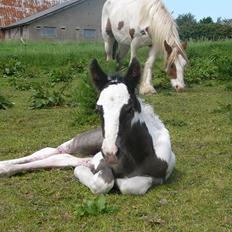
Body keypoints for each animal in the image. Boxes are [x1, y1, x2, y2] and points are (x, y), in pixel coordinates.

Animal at [0, 59, 175, 195]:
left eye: (129, 108)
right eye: (98, 108)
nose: (111, 153)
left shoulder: (157, 176)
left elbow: (129, 185)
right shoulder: (100, 161)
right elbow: (103, 182)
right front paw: (82, 171)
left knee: (62, 158)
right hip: (84, 142)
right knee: (53, 150)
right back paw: (4, 166)